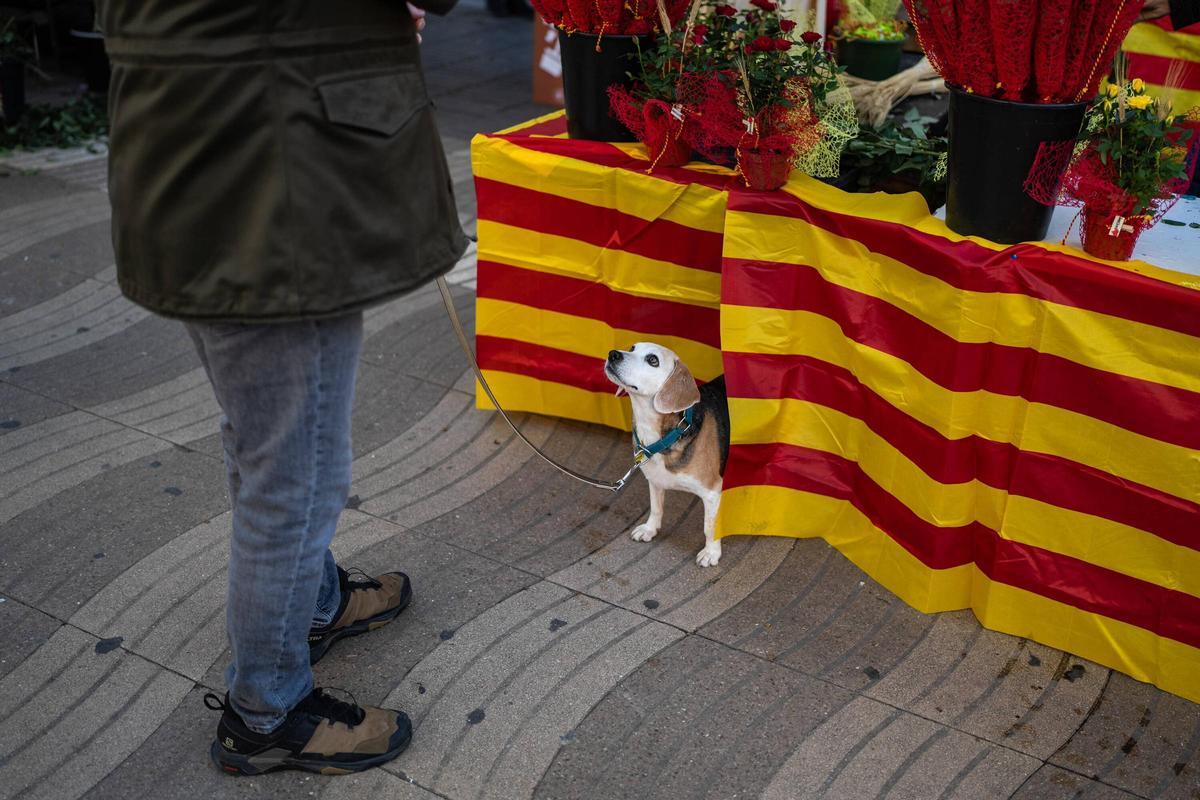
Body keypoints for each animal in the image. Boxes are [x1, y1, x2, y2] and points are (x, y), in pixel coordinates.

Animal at [604, 345, 724, 568]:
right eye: (632, 347)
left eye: (653, 360)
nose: (613, 354)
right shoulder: (655, 480)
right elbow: (656, 508)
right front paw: (650, 529)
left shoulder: (712, 491)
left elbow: (710, 526)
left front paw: (711, 552)